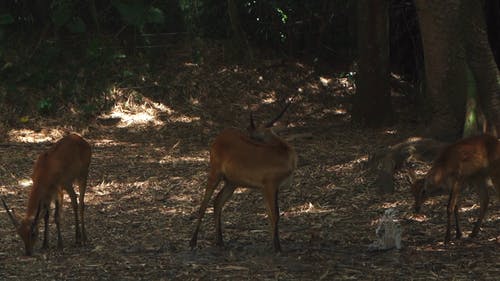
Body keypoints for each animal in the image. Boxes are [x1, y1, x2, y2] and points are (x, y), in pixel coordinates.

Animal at [189, 103, 294, 252]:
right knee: (204, 204)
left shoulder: (269, 187)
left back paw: (220, 241)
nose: (248, 134)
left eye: (253, 136)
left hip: (232, 181)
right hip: (215, 170)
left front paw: (274, 244)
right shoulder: (269, 184)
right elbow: (275, 214)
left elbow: (272, 214)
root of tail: (218, 138)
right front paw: (277, 247)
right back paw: (193, 242)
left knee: (217, 201)